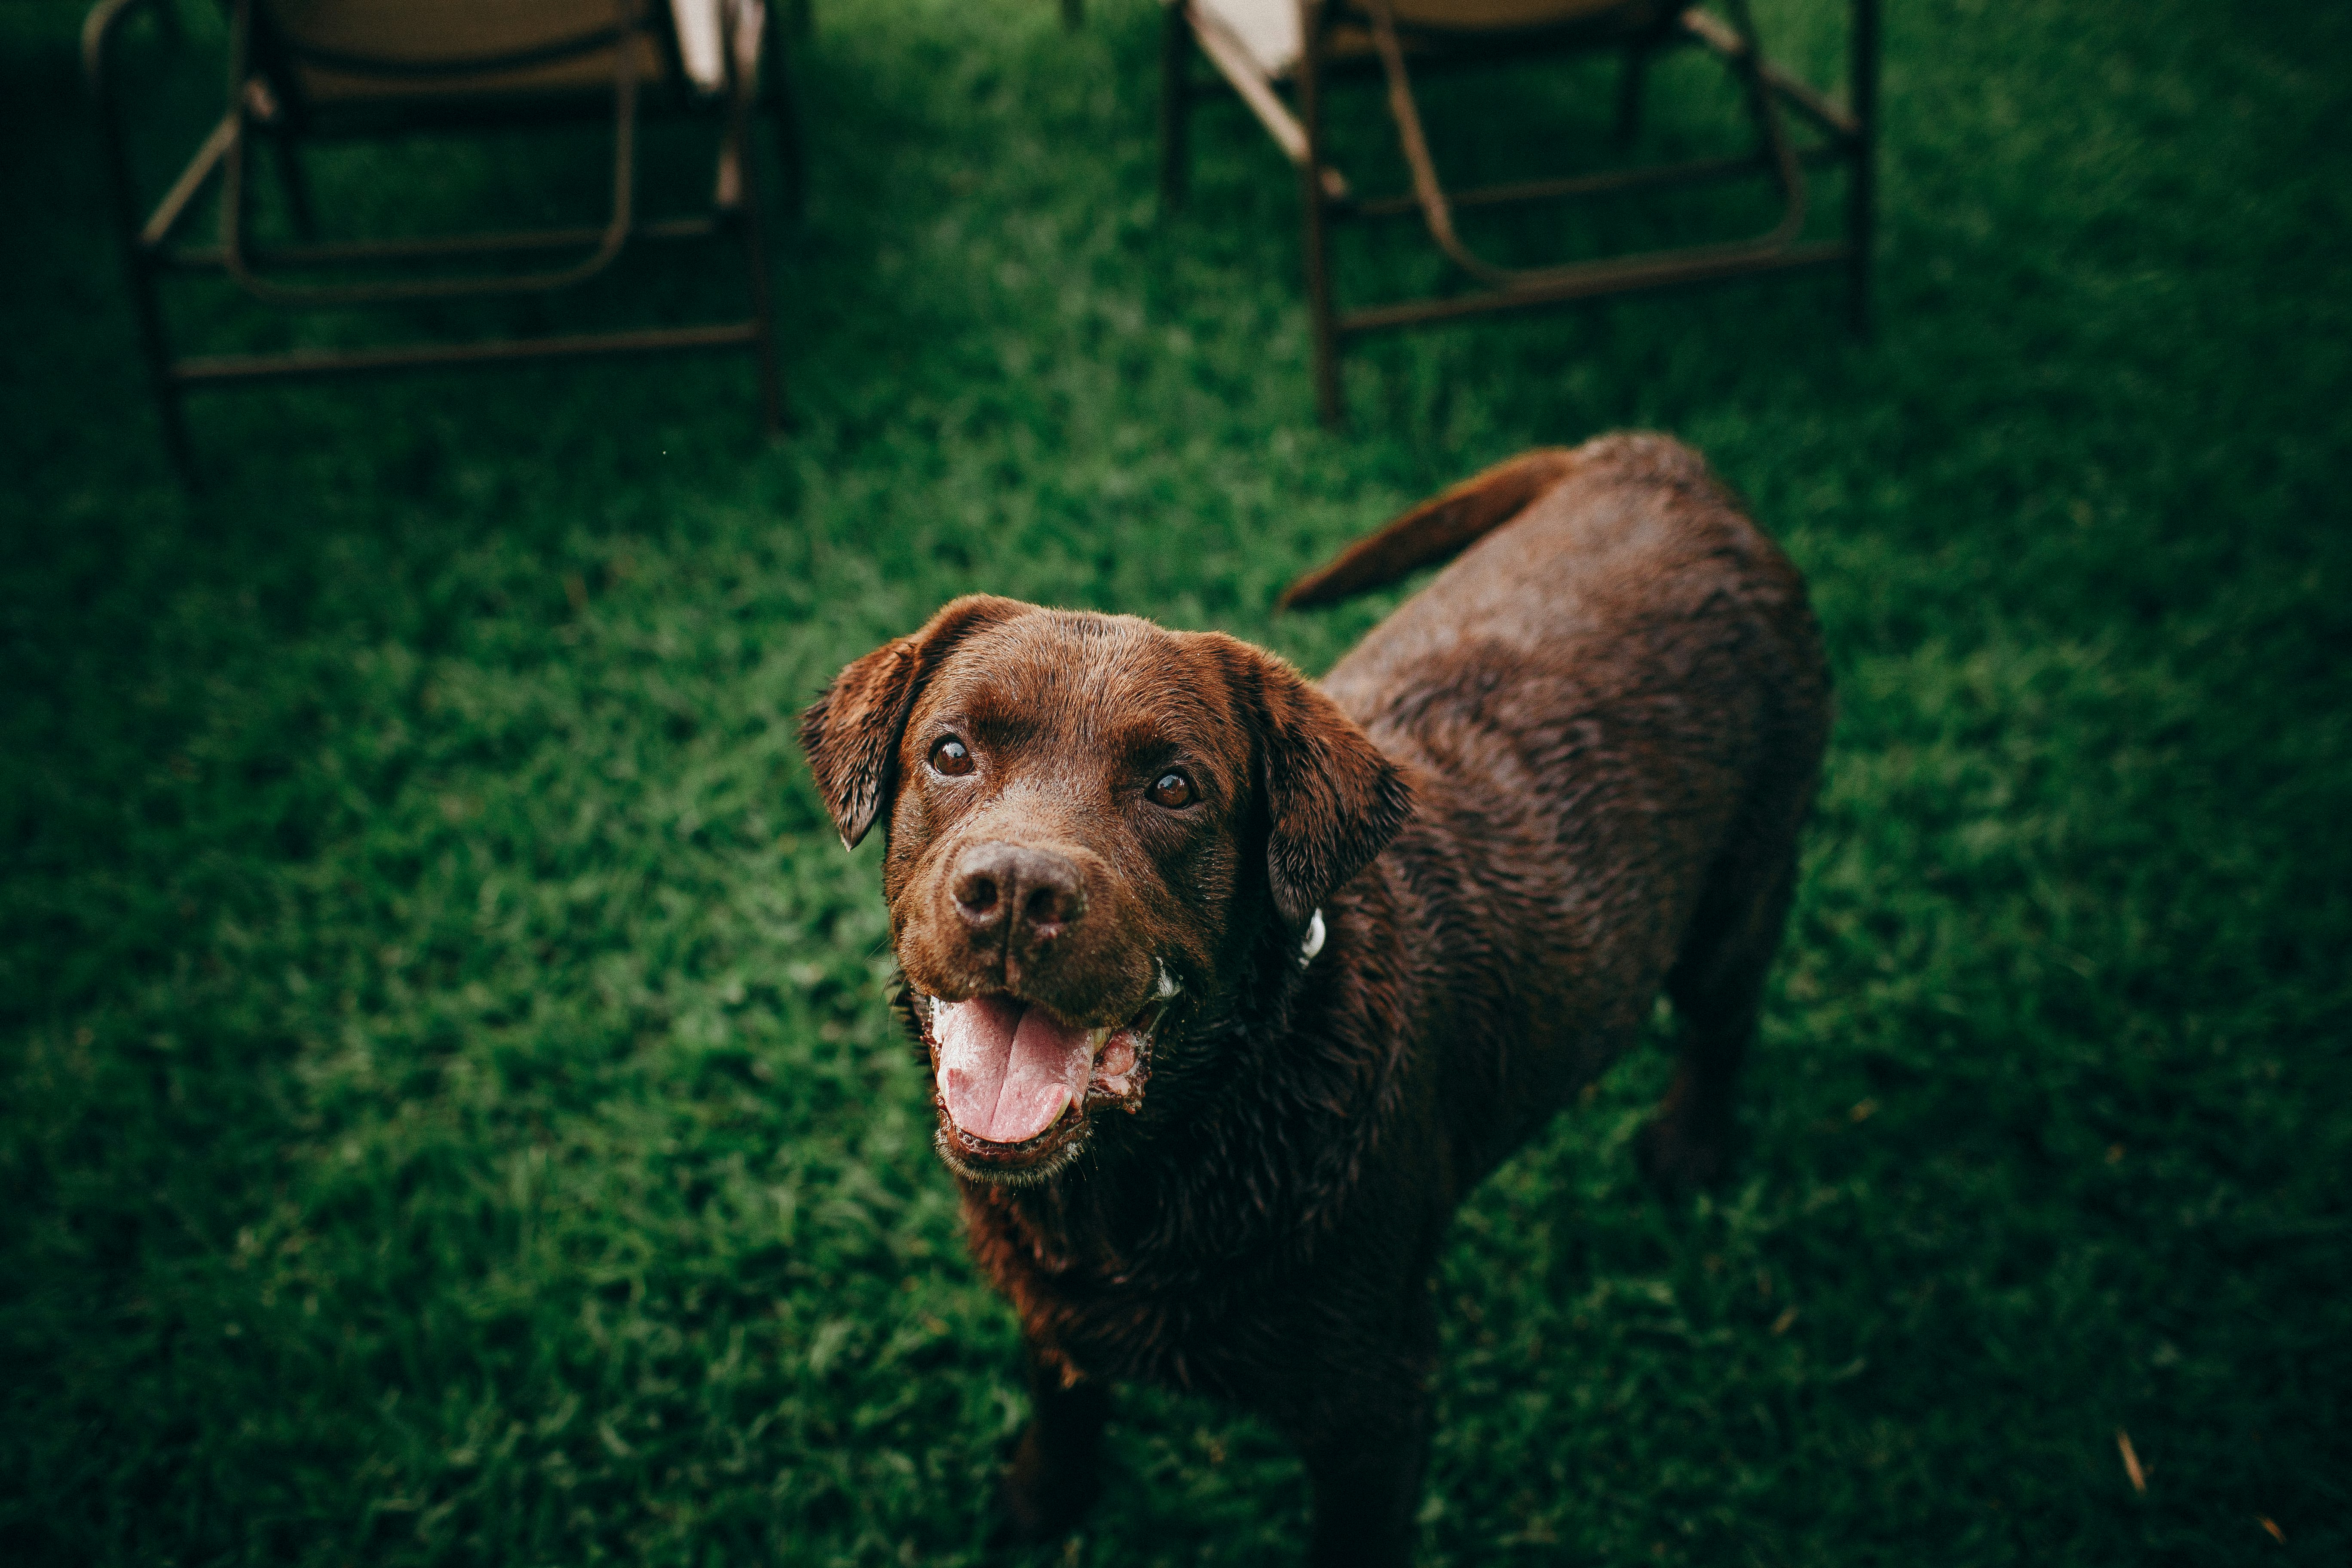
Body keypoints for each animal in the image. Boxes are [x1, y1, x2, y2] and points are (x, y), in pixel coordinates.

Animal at [799, 435, 1825, 1561]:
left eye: (1174, 787)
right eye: (950, 752)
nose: (1017, 891)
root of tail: (1656, 455)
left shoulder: (1375, 1406)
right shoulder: (1047, 1300)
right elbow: (1062, 1394)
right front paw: (1043, 1501)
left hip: (1739, 892)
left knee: (1722, 1021)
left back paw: (1688, 1149)